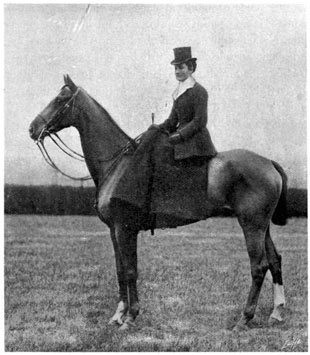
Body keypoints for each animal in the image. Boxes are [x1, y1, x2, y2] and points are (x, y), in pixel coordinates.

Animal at [29, 76, 288, 334]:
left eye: (60, 99)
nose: (32, 128)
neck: (117, 163)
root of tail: (269, 163)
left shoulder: (125, 229)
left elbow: (131, 270)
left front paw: (131, 317)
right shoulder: (114, 230)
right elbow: (120, 270)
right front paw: (118, 315)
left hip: (251, 225)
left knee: (258, 266)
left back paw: (245, 318)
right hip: (262, 226)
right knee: (274, 261)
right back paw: (276, 312)